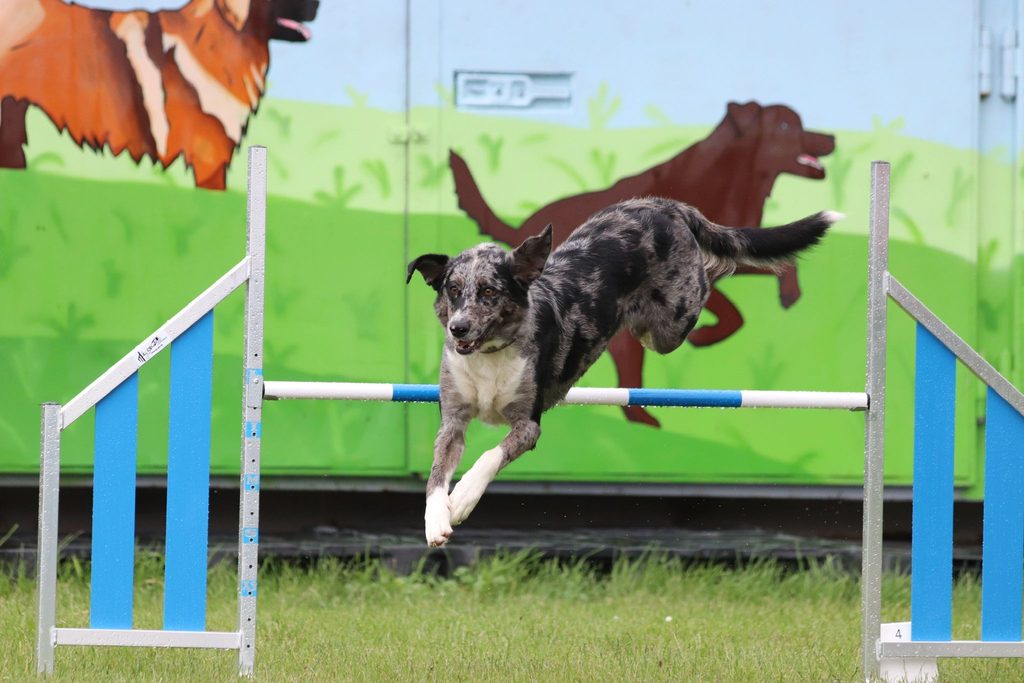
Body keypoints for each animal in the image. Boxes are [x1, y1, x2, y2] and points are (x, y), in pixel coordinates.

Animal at [408, 197, 841, 546]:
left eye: (489, 292)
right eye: (452, 290)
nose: (458, 328)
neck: (491, 354)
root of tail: (667, 205)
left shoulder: (528, 424)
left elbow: (488, 456)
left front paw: (463, 499)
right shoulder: (453, 419)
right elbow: (435, 476)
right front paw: (436, 521)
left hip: (671, 322)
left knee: (716, 271)